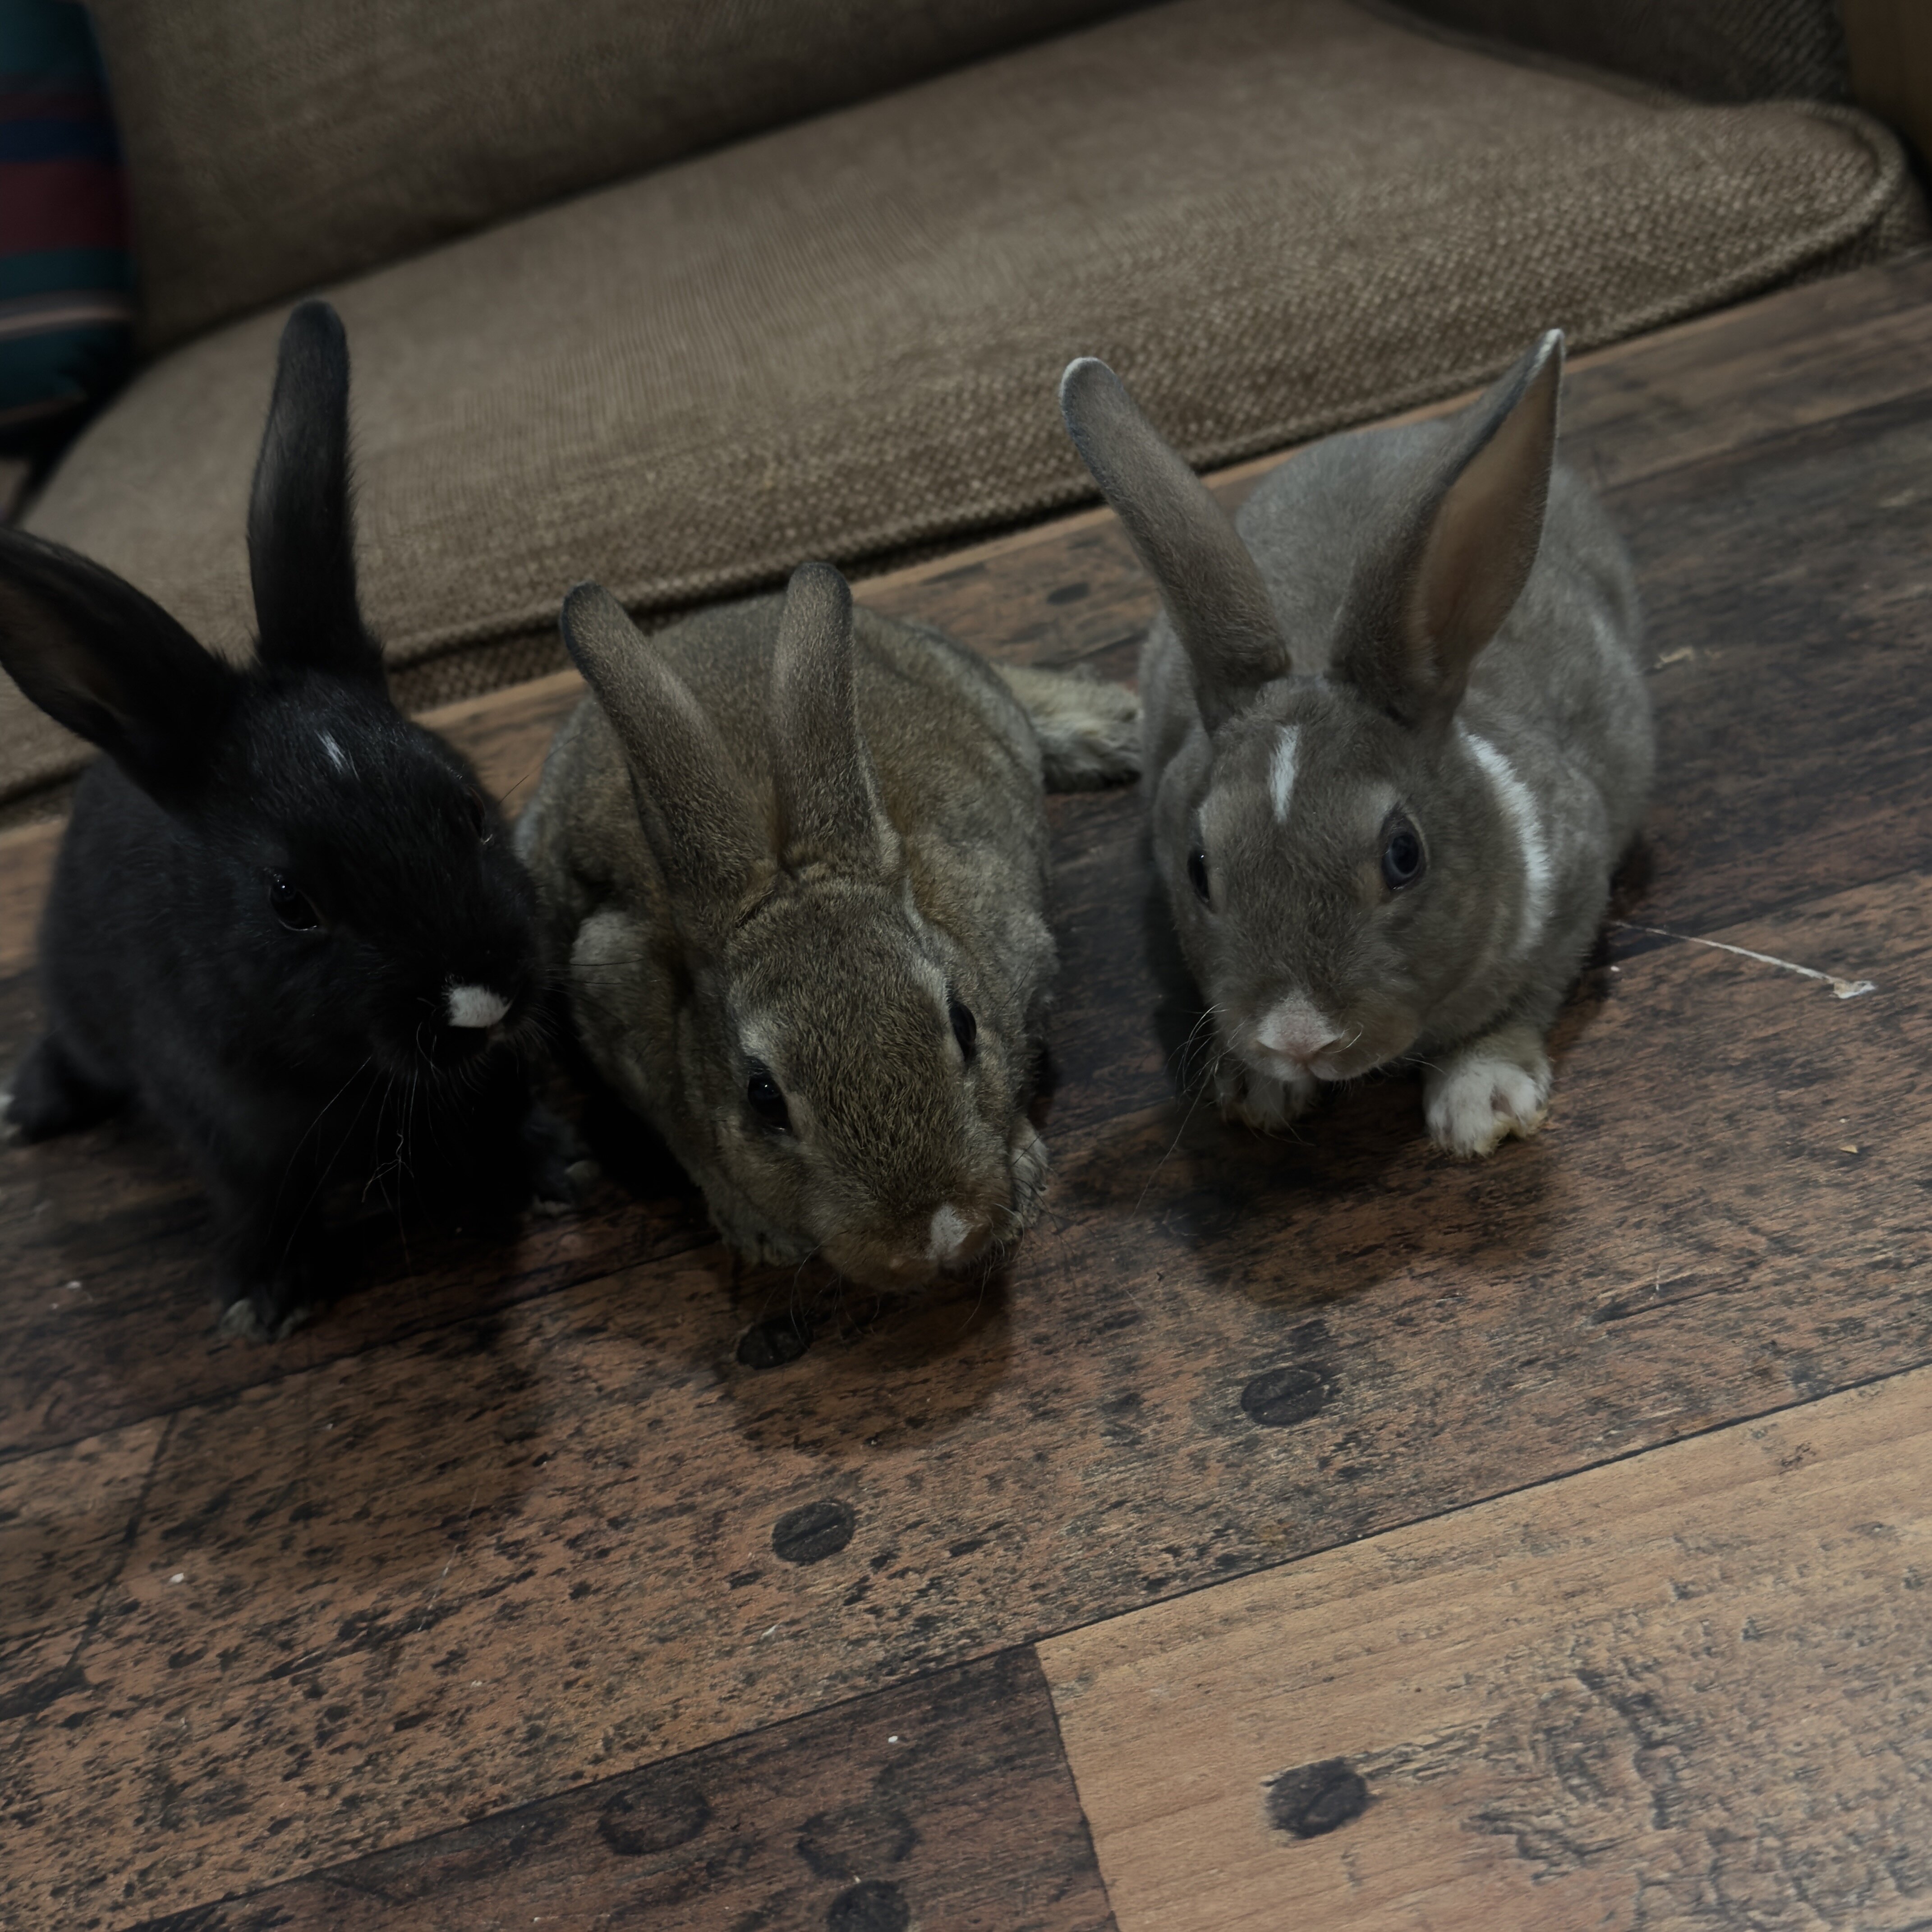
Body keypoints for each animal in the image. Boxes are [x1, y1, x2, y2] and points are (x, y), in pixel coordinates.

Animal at [0, 301, 572, 1339]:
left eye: (467, 805)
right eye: (289, 902)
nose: (481, 996)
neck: (349, 1066)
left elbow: (495, 1112)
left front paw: (551, 1169)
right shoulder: (231, 1124)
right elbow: (257, 1197)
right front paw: (265, 1302)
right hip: (81, 1003)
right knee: (70, 1047)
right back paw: (27, 1105)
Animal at [514, 559, 1139, 1290]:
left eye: (964, 1026)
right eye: (762, 1098)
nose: (937, 1239)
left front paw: (1022, 1174)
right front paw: (760, 1235)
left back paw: (1114, 727)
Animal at [1058, 331, 1654, 1157]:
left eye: (1404, 856)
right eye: (1197, 867)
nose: (1298, 1036)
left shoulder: (1576, 885)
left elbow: (1525, 997)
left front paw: (1480, 1105)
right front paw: (1260, 1092)